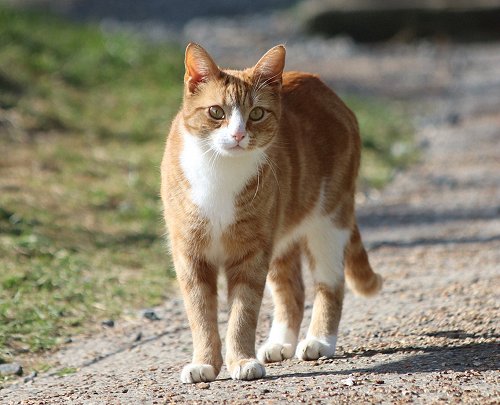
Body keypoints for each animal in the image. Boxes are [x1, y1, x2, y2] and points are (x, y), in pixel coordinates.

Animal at [161, 42, 382, 384]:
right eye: (216, 112)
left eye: (256, 114)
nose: (238, 135)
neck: (219, 174)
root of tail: (319, 81)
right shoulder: (191, 255)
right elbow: (201, 315)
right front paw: (205, 363)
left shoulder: (252, 255)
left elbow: (243, 313)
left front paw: (241, 360)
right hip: (280, 238)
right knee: (293, 291)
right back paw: (280, 344)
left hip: (328, 224)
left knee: (330, 284)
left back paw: (319, 341)